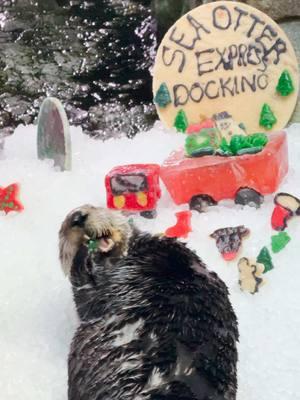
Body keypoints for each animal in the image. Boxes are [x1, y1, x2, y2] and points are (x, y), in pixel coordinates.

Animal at [59, 206, 239, 400]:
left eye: (93, 207)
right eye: (63, 229)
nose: (77, 217)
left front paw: (85, 252)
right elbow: (85, 297)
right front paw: (83, 253)